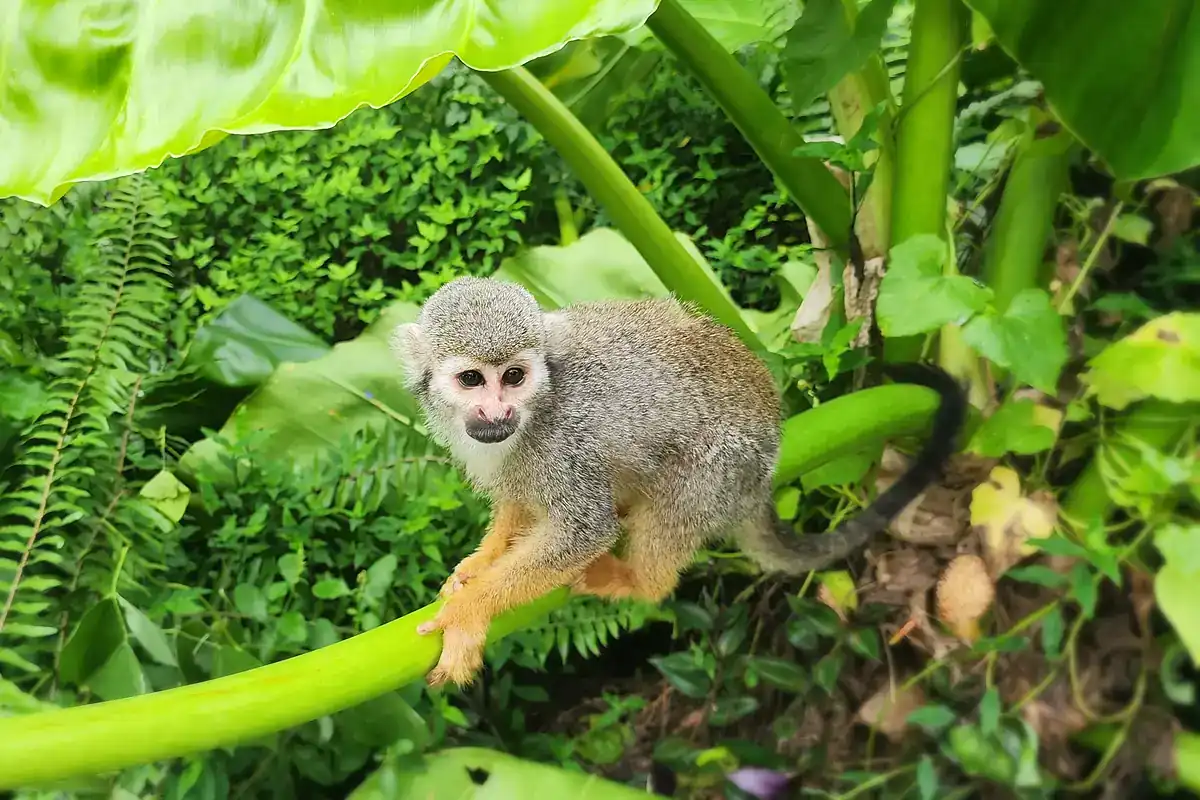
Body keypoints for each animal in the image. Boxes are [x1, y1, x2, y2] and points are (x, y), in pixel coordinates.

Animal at [390, 276, 966, 688]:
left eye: (514, 376)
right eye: (472, 380)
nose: (497, 410)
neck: (533, 416)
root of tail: (765, 476)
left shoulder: (566, 443)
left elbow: (582, 532)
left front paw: (471, 610)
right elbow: (517, 501)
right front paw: (481, 563)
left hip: (727, 471)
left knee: (680, 498)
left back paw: (642, 582)